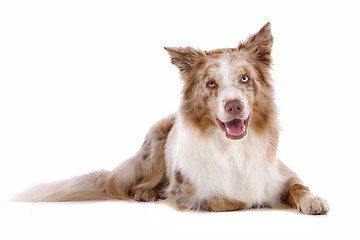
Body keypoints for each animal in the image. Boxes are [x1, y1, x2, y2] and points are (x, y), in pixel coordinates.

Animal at [14, 22, 330, 214]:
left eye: (244, 78)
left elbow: (299, 186)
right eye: (211, 83)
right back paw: (146, 192)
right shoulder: (187, 192)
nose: (234, 106)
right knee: (135, 184)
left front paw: (313, 200)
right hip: (155, 142)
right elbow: (228, 200)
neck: (233, 148)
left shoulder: (280, 174)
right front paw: (252, 202)